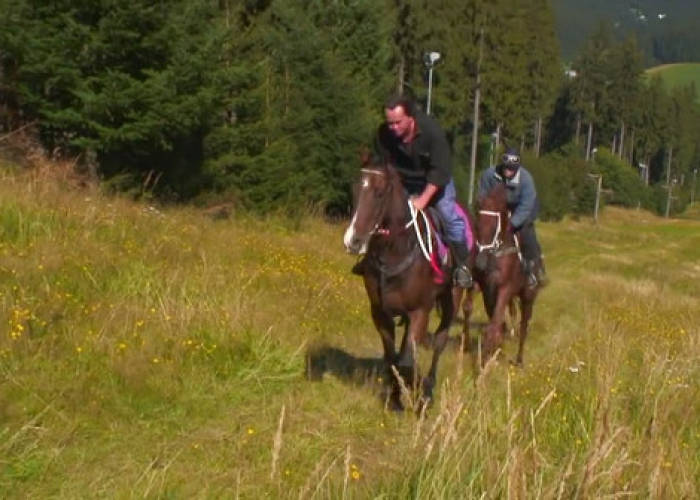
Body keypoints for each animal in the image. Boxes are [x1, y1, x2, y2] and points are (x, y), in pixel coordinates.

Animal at [342, 157, 468, 410]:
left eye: (380, 193)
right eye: (354, 188)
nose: (353, 241)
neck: (395, 251)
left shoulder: (419, 312)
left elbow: (407, 361)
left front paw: (417, 395)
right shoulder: (380, 313)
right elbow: (393, 359)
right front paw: (395, 398)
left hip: (452, 299)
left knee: (439, 341)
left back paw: (428, 386)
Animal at [476, 182, 540, 366]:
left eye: (494, 226)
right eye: (477, 224)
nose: (480, 262)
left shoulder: (505, 289)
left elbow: (496, 323)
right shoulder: (488, 291)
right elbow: (496, 322)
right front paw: (494, 350)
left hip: (528, 297)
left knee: (524, 326)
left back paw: (519, 359)